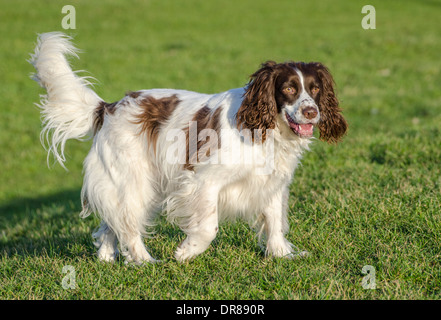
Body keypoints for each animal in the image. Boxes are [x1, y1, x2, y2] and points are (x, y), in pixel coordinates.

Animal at [30, 31, 348, 262]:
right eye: (289, 89)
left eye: (315, 89)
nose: (311, 112)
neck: (264, 129)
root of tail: (107, 108)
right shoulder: (203, 180)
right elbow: (209, 226)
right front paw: (187, 252)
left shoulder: (271, 182)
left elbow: (274, 220)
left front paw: (281, 255)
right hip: (135, 181)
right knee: (128, 224)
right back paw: (145, 261)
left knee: (113, 221)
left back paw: (108, 259)